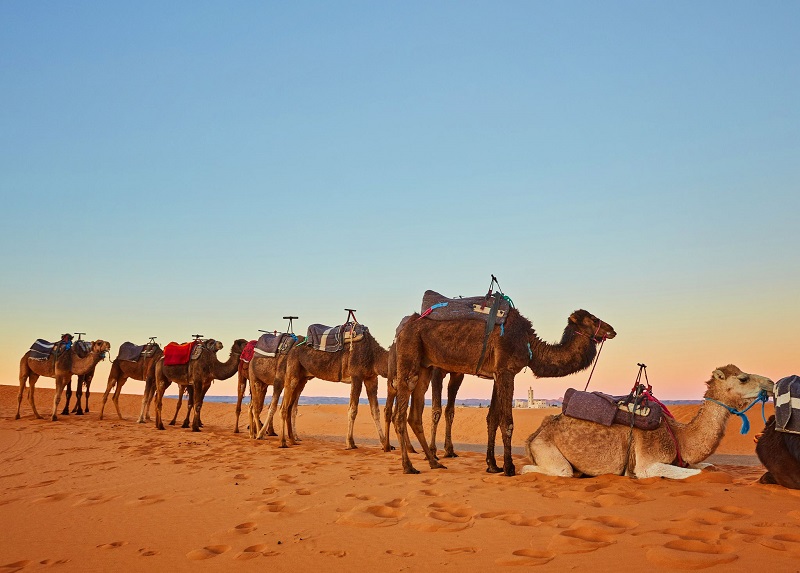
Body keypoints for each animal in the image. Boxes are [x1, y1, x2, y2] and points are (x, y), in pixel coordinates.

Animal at [391, 305, 616, 475]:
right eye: (593, 319)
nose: (612, 330)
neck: (529, 344)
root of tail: (402, 328)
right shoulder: (507, 371)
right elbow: (507, 422)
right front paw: (509, 467)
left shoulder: (497, 374)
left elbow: (492, 417)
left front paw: (492, 465)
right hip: (411, 358)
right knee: (401, 414)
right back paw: (409, 466)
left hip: (425, 367)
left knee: (414, 414)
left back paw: (434, 462)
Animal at [522, 364, 774, 479]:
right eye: (743, 378)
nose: (771, 383)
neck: (679, 437)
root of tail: (534, 434)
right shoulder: (647, 465)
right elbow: (698, 474)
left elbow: (710, 467)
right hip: (546, 449)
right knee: (552, 470)